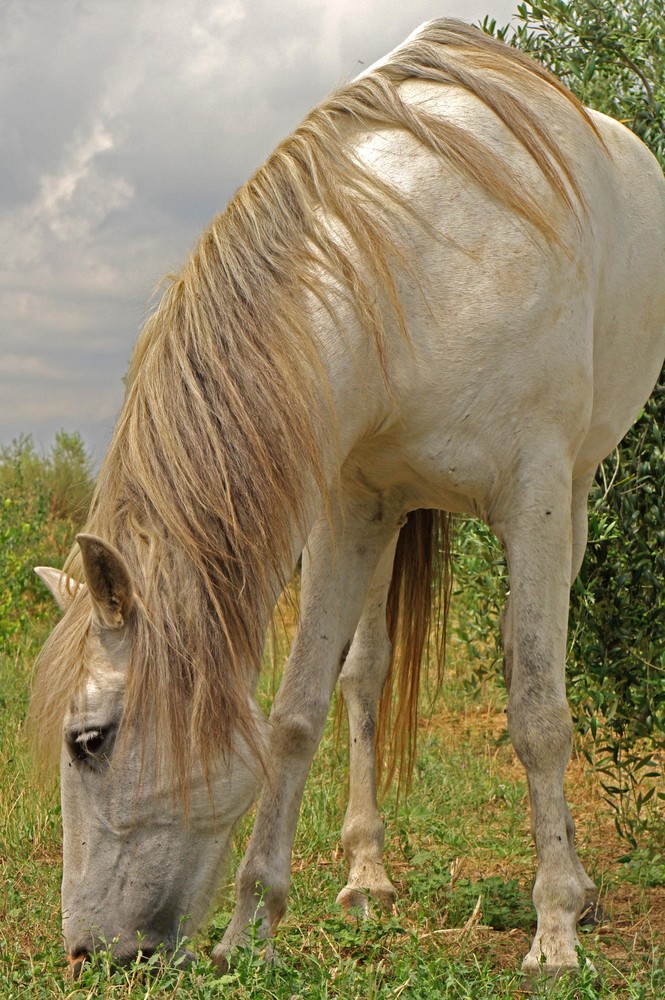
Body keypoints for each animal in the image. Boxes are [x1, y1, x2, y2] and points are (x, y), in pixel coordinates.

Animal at [32, 19, 664, 980]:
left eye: (90, 741)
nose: (89, 953)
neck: (420, 267)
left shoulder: (535, 496)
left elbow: (537, 712)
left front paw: (555, 927)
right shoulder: (345, 510)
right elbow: (296, 716)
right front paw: (250, 925)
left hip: (573, 497)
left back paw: (576, 889)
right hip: (385, 522)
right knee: (365, 677)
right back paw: (367, 874)